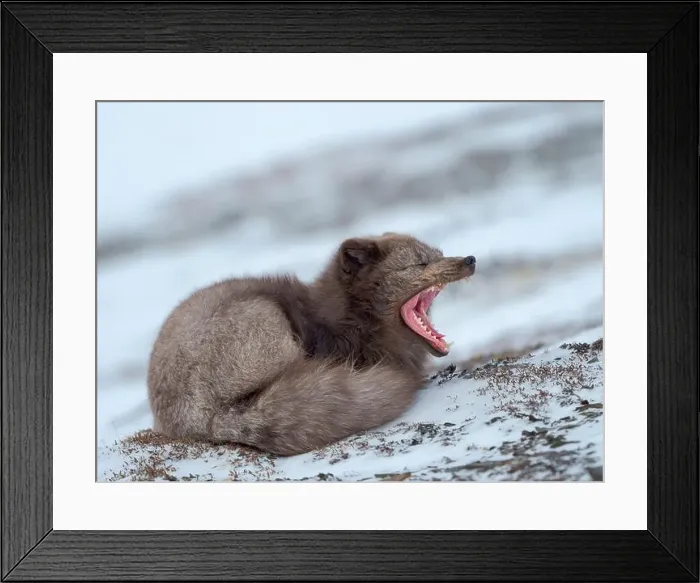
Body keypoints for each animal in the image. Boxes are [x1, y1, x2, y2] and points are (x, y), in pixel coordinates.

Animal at [146, 232, 476, 456]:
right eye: (420, 263)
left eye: (439, 253)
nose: (470, 260)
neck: (345, 320)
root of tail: (204, 422)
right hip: (265, 316)